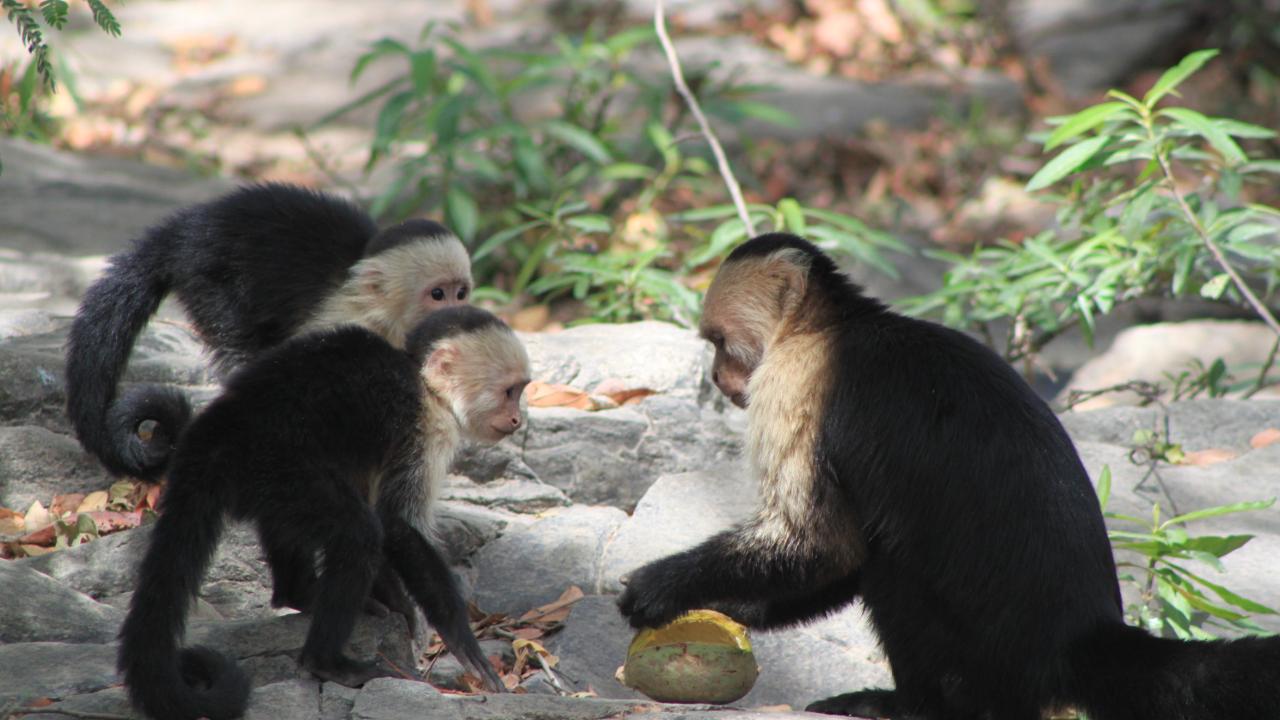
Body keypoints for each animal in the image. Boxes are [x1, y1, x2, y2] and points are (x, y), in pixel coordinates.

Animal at [65, 182, 473, 482]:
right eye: (438, 295)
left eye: (461, 292)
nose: (458, 311)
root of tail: (187, 229)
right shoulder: (343, 322)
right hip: (211, 278)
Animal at [117, 306, 529, 720]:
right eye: (510, 392)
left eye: (520, 391)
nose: (517, 420)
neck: (424, 382)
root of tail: (210, 437)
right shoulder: (426, 426)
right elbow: (396, 524)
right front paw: (463, 644)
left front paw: (395, 600)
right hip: (274, 464)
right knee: (357, 532)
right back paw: (327, 662)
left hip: (266, 482)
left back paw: (299, 593)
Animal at [618, 233, 1280, 720]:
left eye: (719, 342)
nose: (718, 381)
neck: (827, 326)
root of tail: (1081, 636)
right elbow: (839, 555)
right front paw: (731, 604)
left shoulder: (794, 382)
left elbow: (820, 544)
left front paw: (665, 586)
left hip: (989, 660)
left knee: (893, 572)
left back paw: (909, 706)